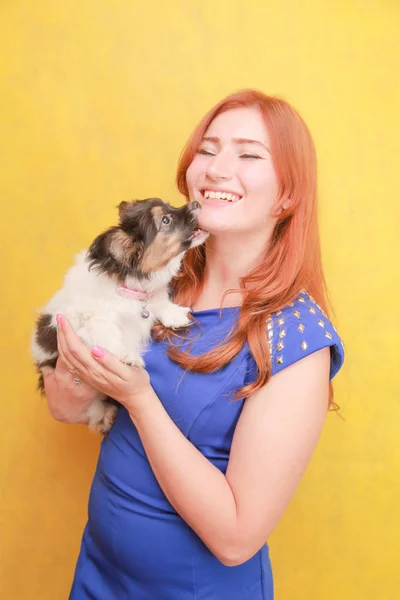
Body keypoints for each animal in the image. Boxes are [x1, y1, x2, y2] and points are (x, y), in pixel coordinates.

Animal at [32, 199, 208, 434]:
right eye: (165, 220)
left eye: (169, 206)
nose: (196, 202)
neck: (128, 289)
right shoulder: (93, 319)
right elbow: (110, 335)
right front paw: (127, 356)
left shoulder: (149, 297)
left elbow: (159, 303)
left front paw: (176, 315)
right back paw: (106, 416)